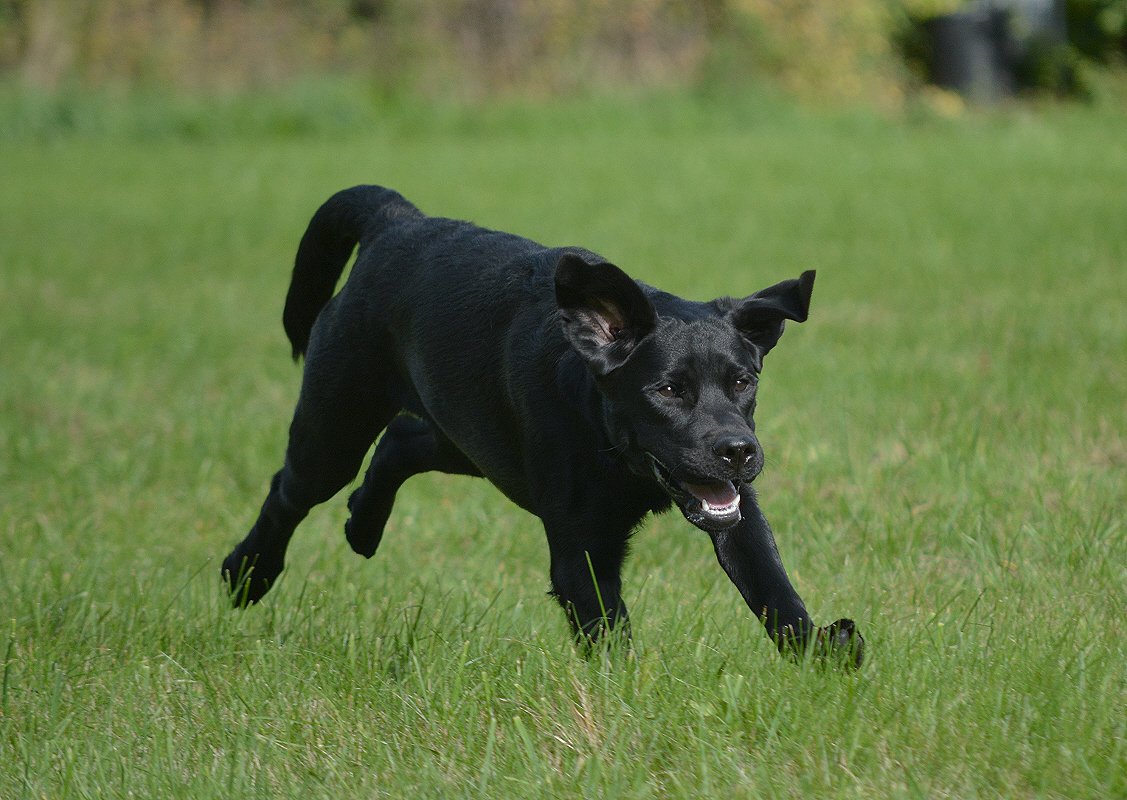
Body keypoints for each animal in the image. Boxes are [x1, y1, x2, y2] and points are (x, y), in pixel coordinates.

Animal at [224, 184, 865, 667]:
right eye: (667, 390)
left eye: (742, 382)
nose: (737, 450)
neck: (614, 452)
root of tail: (394, 222)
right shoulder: (581, 546)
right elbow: (607, 630)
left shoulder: (736, 509)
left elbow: (770, 582)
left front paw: (824, 653)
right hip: (335, 427)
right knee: (289, 490)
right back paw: (247, 574)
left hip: (473, 438)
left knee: (403, 441)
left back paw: (362, 525)